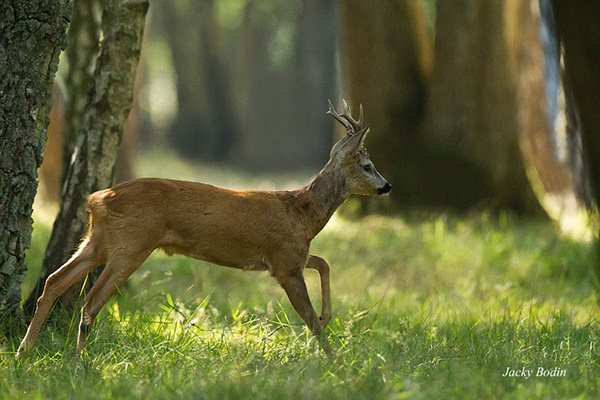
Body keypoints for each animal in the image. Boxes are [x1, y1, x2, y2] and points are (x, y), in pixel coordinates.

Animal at [16, 101, 392, 360]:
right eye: (367, 165)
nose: (387, 186)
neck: (304, 214)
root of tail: (97, 198)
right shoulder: (285, 263)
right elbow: (310, 318)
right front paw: (334, 361)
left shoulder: (292, 255)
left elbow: (324, 263)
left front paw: (330, 318)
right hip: (131, 245)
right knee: (90, 301)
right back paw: (80, 361)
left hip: (97, 240)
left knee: (53, 281)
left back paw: (25, 351)